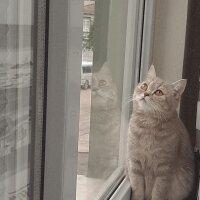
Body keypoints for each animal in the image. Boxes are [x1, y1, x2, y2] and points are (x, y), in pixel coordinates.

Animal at [127, 65, 195, 200]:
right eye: (144, 86)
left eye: (159, 92)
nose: (146, 93)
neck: (148, 127)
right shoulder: (135, 163)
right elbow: (137, 190)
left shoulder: (164, 169)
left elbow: (158, 192)